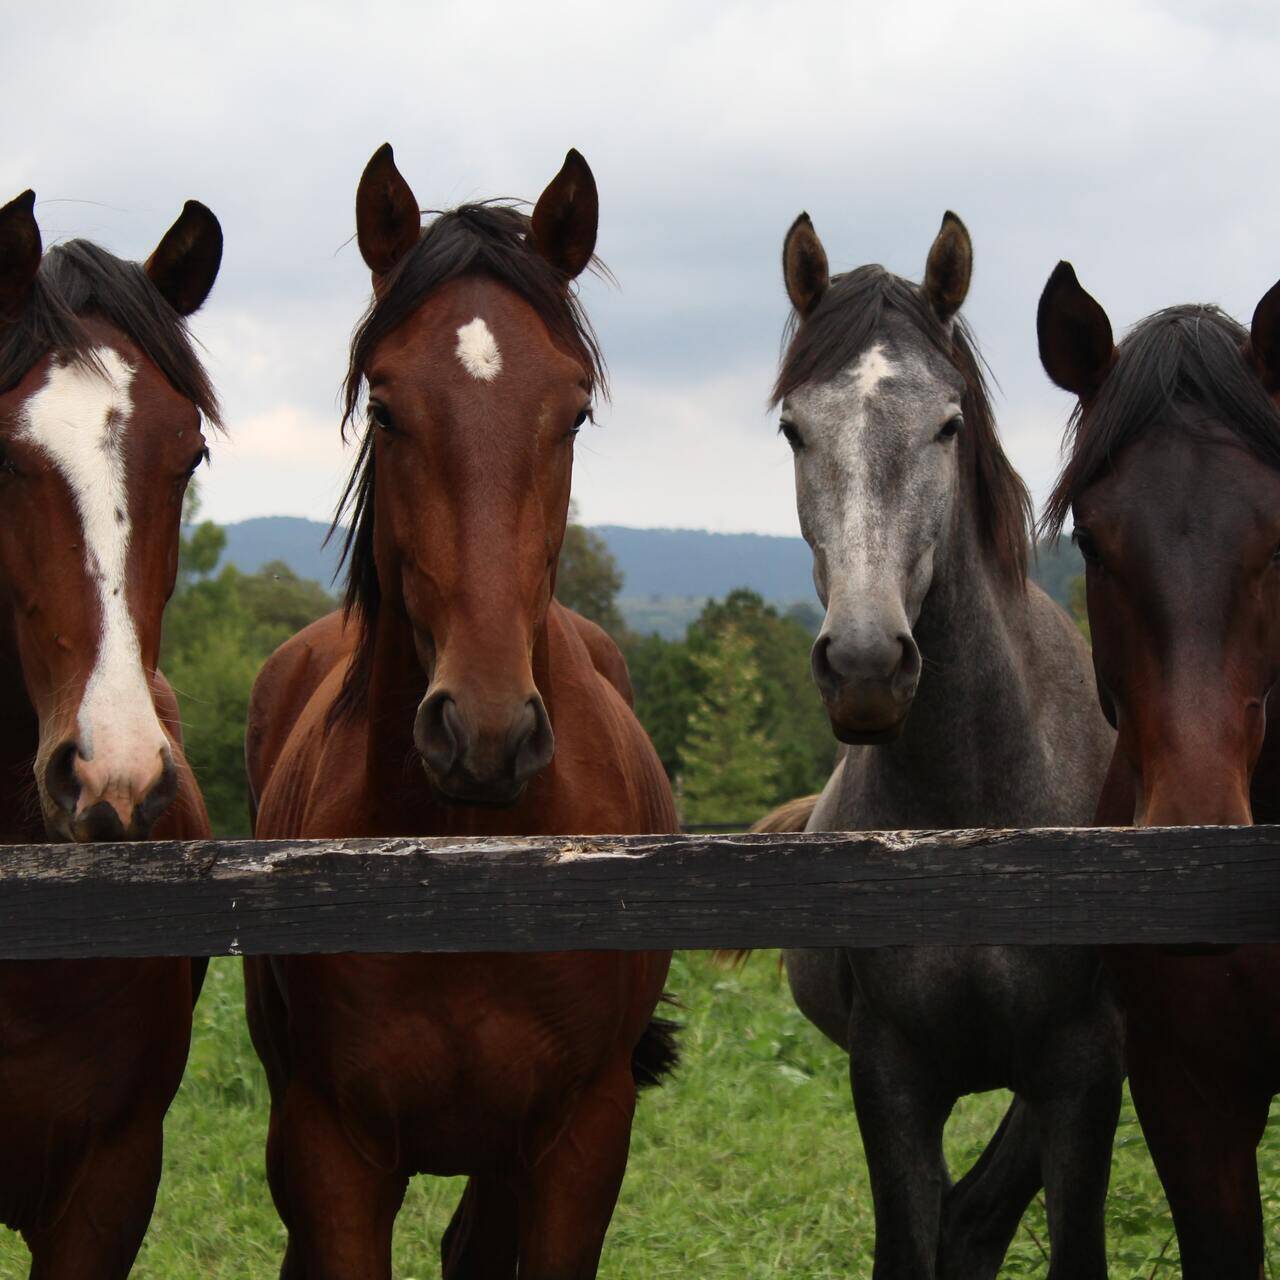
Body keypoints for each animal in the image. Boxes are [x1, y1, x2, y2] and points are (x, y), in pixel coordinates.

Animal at [241, 147, 680, 1280]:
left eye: (572, 412)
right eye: (386, 407)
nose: (484, 733)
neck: (463, 872)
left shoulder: (578, 1142)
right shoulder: (331, 1148)